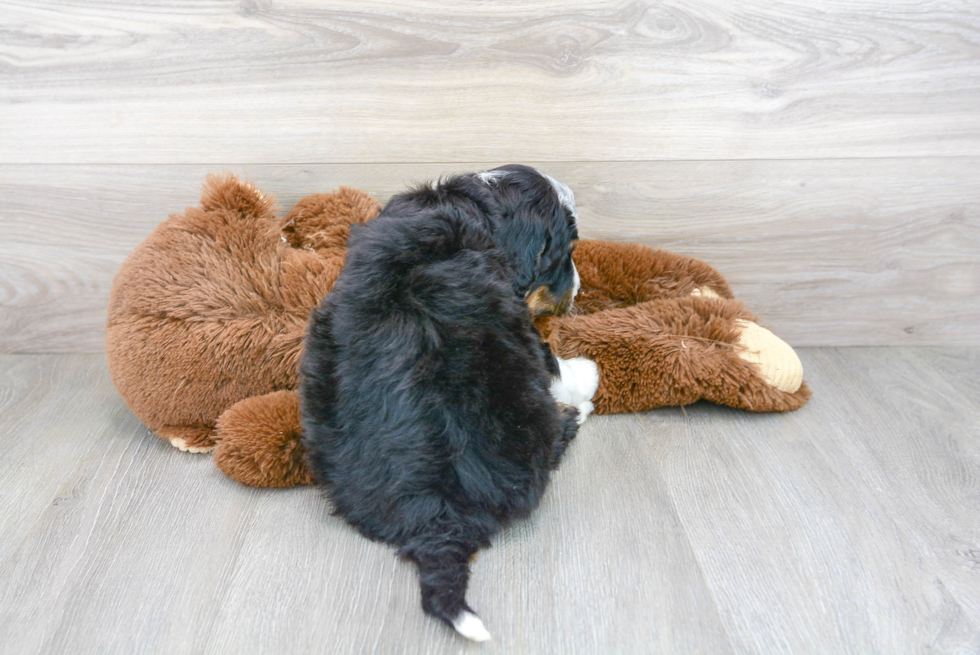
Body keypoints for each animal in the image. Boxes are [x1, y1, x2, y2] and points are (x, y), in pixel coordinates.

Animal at [300, 164, 580, 640]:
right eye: (567, 249)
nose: (578, 288)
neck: (478, 205)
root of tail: (438, 515)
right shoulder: (524, 330)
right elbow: (551, 360)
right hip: (529, 420)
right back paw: (573, 416)